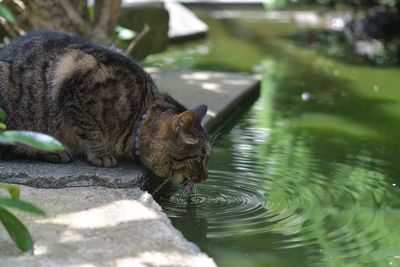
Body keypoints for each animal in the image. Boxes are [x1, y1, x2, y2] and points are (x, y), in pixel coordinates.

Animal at [0, 30, 211, 184]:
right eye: (200, 157)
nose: (205, 177)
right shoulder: (74, 71)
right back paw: (51, 150)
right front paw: (100, 155)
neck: (138, 114)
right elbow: (89, 128)